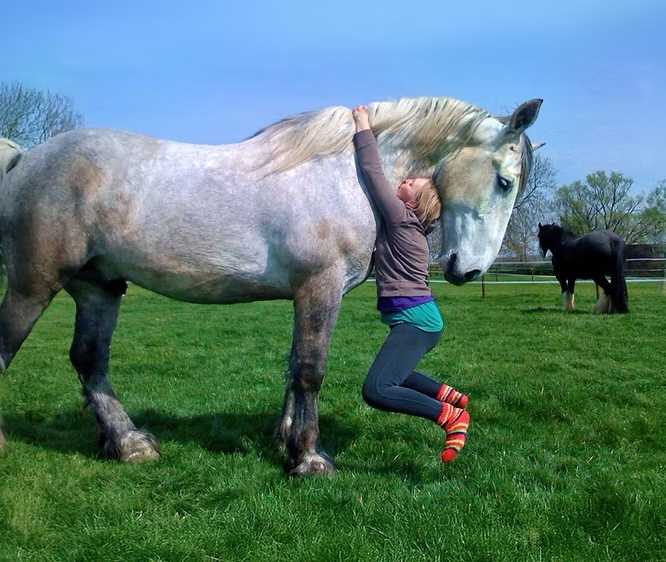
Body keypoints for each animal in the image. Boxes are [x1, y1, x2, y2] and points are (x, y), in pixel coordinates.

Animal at [0, 96, 542, 475]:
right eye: (504, 181)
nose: (468, 270)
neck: (346, 175)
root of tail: (24, 160)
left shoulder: (305, 294)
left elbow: (293, 367)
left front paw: (286, 441)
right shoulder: (320, 288)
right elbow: (310, 371)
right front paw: (309, 459)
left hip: (100, 288)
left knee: (90, 361)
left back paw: (129, 443)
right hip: (32, 286)